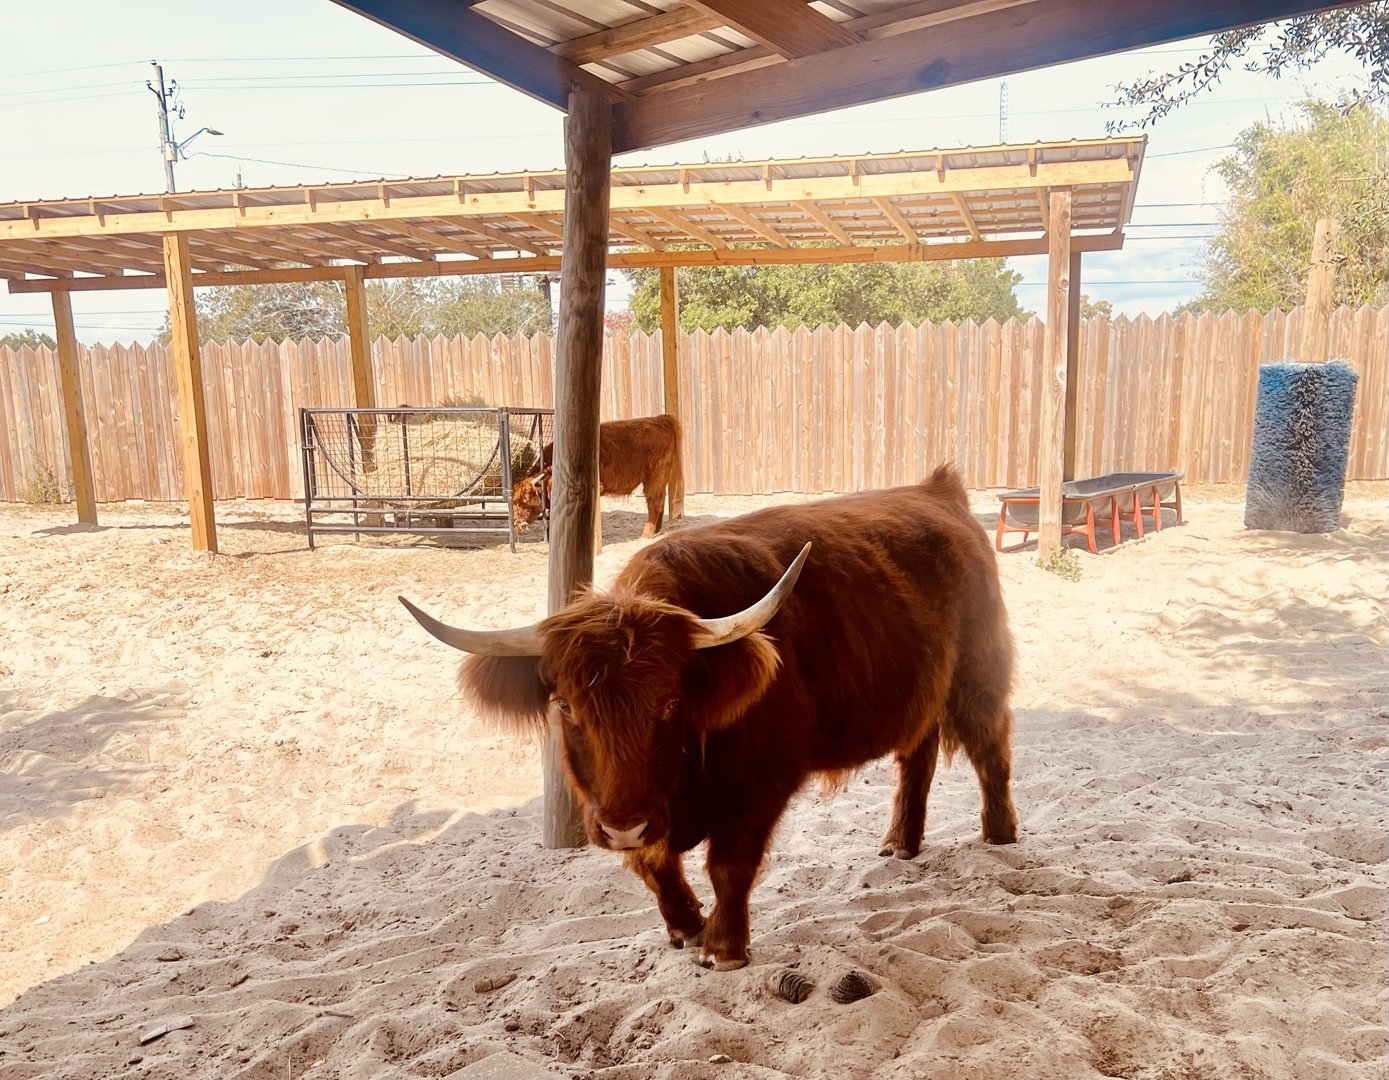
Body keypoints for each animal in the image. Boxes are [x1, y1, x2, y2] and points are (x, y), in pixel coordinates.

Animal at [400, 464, 1018, 971]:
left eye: (671, 702)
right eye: (567, 705)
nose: (622, 826)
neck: (684, 779)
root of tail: (938, 490)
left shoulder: (763, 781)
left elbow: (730, 865)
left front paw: (723, 947)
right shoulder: (623, 805)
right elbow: (653, 865)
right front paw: (686, 926)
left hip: (978, 673)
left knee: (991, 752)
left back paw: (1000, 835)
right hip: (921, 692)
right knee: (918, 757)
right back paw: (900, 843)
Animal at [512, 413, 684, 539]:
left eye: (525, 499)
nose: (516, 522)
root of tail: (660, 419)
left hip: (655, 476)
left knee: (654, 503)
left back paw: (646, 534)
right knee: (659, 501)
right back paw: (657, 530)